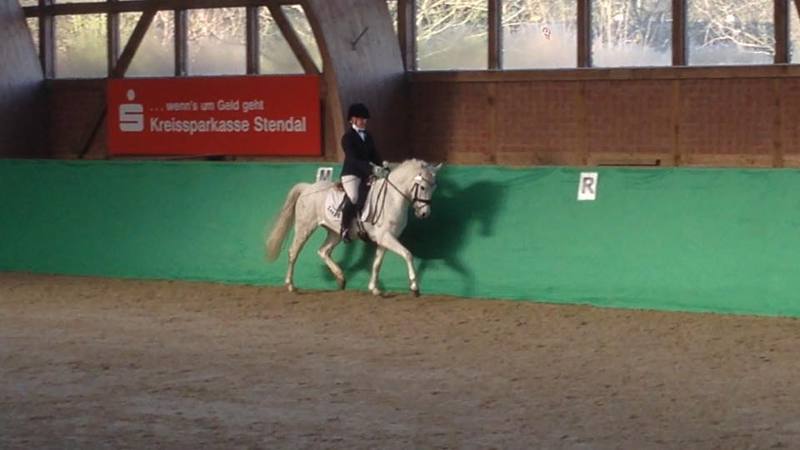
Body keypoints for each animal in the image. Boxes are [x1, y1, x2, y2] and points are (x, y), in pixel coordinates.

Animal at [265, 158, 441, 296]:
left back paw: (341, 278)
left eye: (434, 187)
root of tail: (308, 188)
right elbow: (407, 254)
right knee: (293, 252)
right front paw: (414, 287)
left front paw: (374, 288)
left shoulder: (384, 238)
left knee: (323, 251)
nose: (424, 214)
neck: (392, 198)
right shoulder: (386, 237)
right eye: (423, 187)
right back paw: (290, 285)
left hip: (335, 233)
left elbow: (377, 263)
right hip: (305, 227)